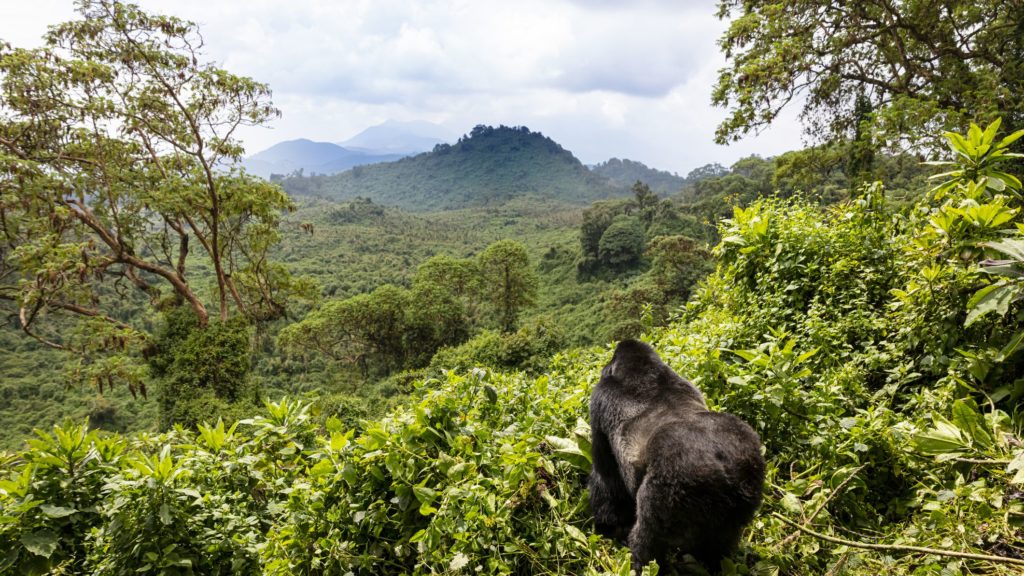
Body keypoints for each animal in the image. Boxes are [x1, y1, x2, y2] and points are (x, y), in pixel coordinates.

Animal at [589, 338, 765, 565]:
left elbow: (605, 477)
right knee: (720, 544)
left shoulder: (599, 399)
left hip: (672, 486)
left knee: (648, 543)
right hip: (749, 477)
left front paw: (609, 526)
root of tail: (725, 470)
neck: (643, 370)